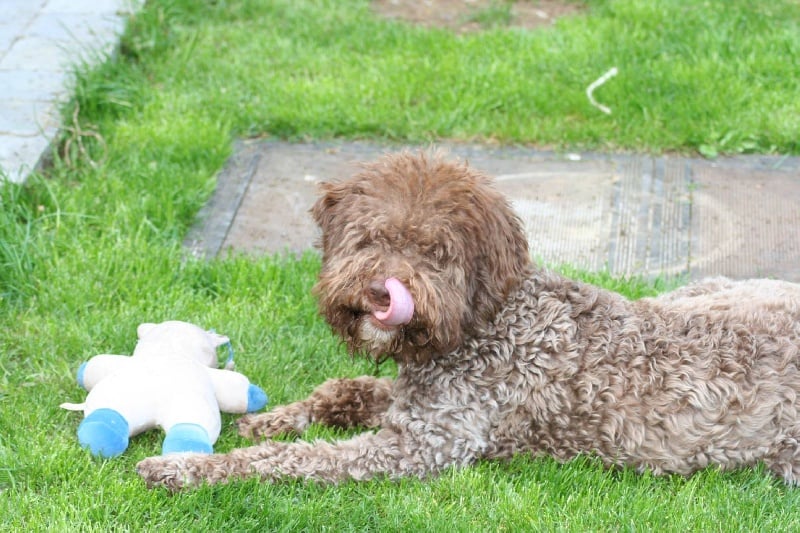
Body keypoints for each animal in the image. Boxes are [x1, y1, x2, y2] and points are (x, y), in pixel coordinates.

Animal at [138, 150, 800, 490]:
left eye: (435, 252)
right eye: (371, 238)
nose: (380, 293)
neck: (487, 322)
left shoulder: (421, 446)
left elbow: (297, 460)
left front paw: (190, 466)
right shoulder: (414, 401)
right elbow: (342, 388)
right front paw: (272, 418)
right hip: (702, 290)